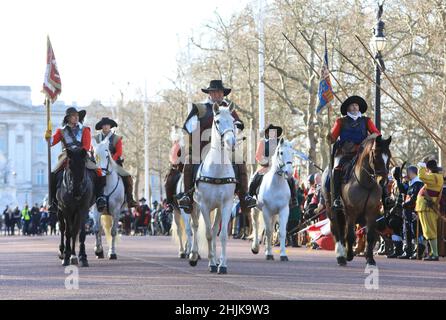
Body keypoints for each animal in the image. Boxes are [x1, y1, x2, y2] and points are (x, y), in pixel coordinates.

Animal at [194, 103, 239, 276]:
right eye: (218, 121)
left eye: (233, 121)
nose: (231, 141)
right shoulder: (204, 205)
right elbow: (206, 234)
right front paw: (212, 264)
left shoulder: (226, 205)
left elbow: (223, 235)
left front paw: (222, 265)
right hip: (195, 207)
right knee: (194, 228)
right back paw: (195, 255)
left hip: (218, 209)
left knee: (214, 231)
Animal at [322, 134, 392, 266]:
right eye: (376, 155)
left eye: (389, 156)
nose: (383, 181)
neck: (366, 183)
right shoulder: (351, 212)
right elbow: (350, 235)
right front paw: (349, 255)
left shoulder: (372, 212)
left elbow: (370, 235)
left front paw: (370, 259)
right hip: (332, 210)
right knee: (337, 231)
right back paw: (341, 256)